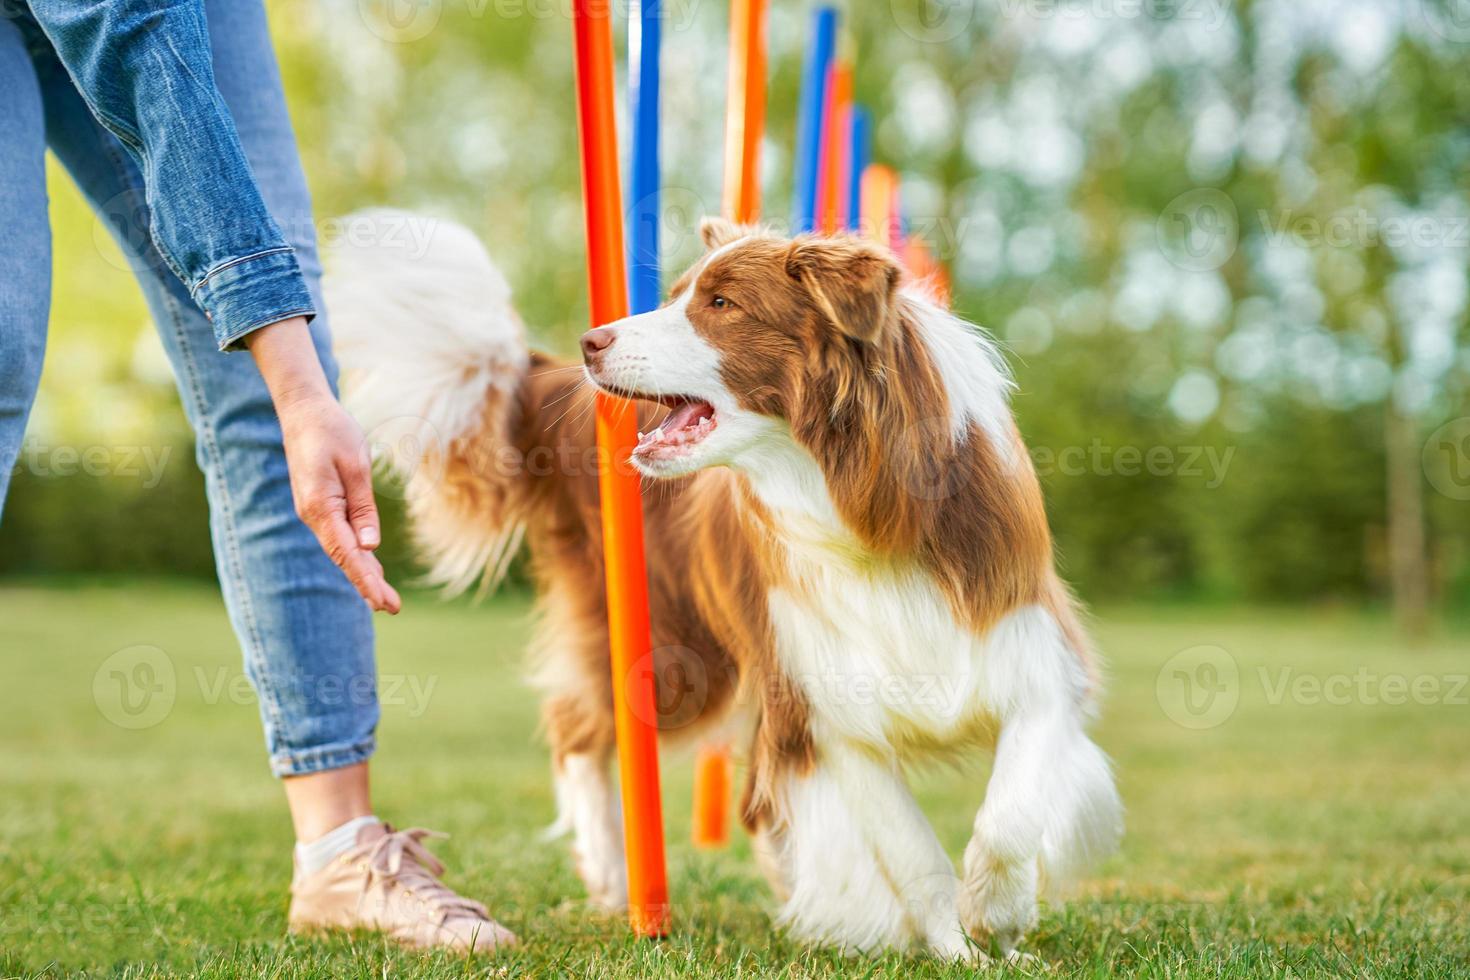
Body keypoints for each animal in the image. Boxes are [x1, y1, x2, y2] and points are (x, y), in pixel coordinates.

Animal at [327, 213, 1117, 957]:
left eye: (721, 303)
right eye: (678, 295)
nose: (590, 342)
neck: (857, 502)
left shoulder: (1028, 646)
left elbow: (1013, 807)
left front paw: (996, 914)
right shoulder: (822, 704)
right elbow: (912, 849)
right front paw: (957, 945)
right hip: (675, 654)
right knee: (578, 728)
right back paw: (615, 875)